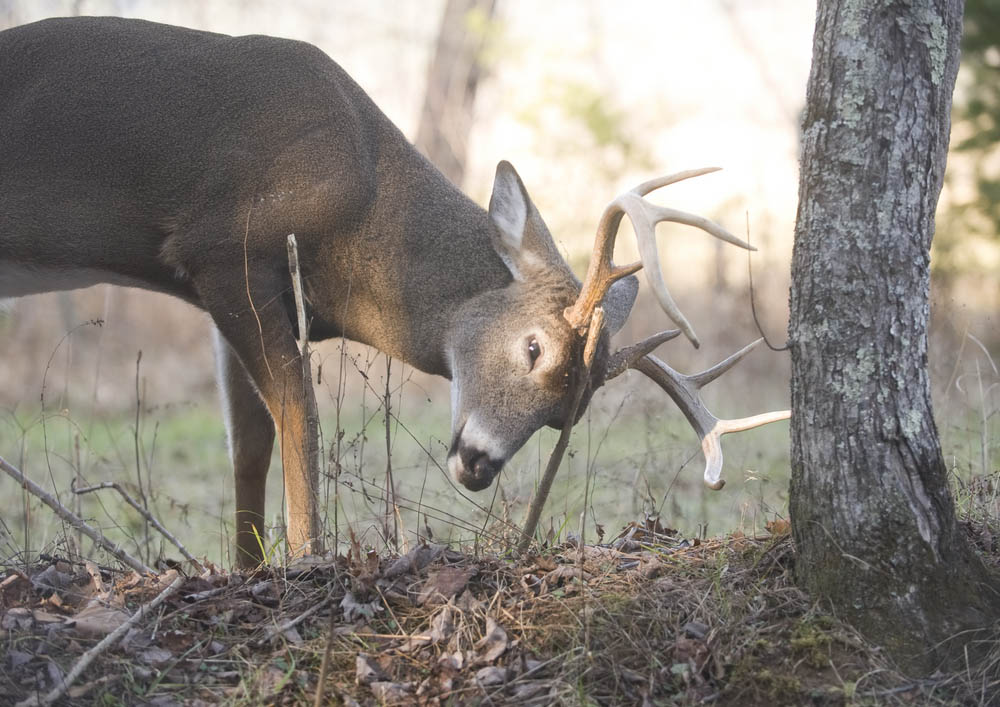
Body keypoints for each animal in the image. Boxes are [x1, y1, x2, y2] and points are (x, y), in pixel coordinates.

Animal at [0, 16, 788, 568]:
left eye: (566, 415)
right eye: (533, 346)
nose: (479, 465)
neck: (364, 206)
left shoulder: (236, 295)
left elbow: (249, 442)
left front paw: (247, 567)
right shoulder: (223, 247)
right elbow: (300, 416)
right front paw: (306, 558)